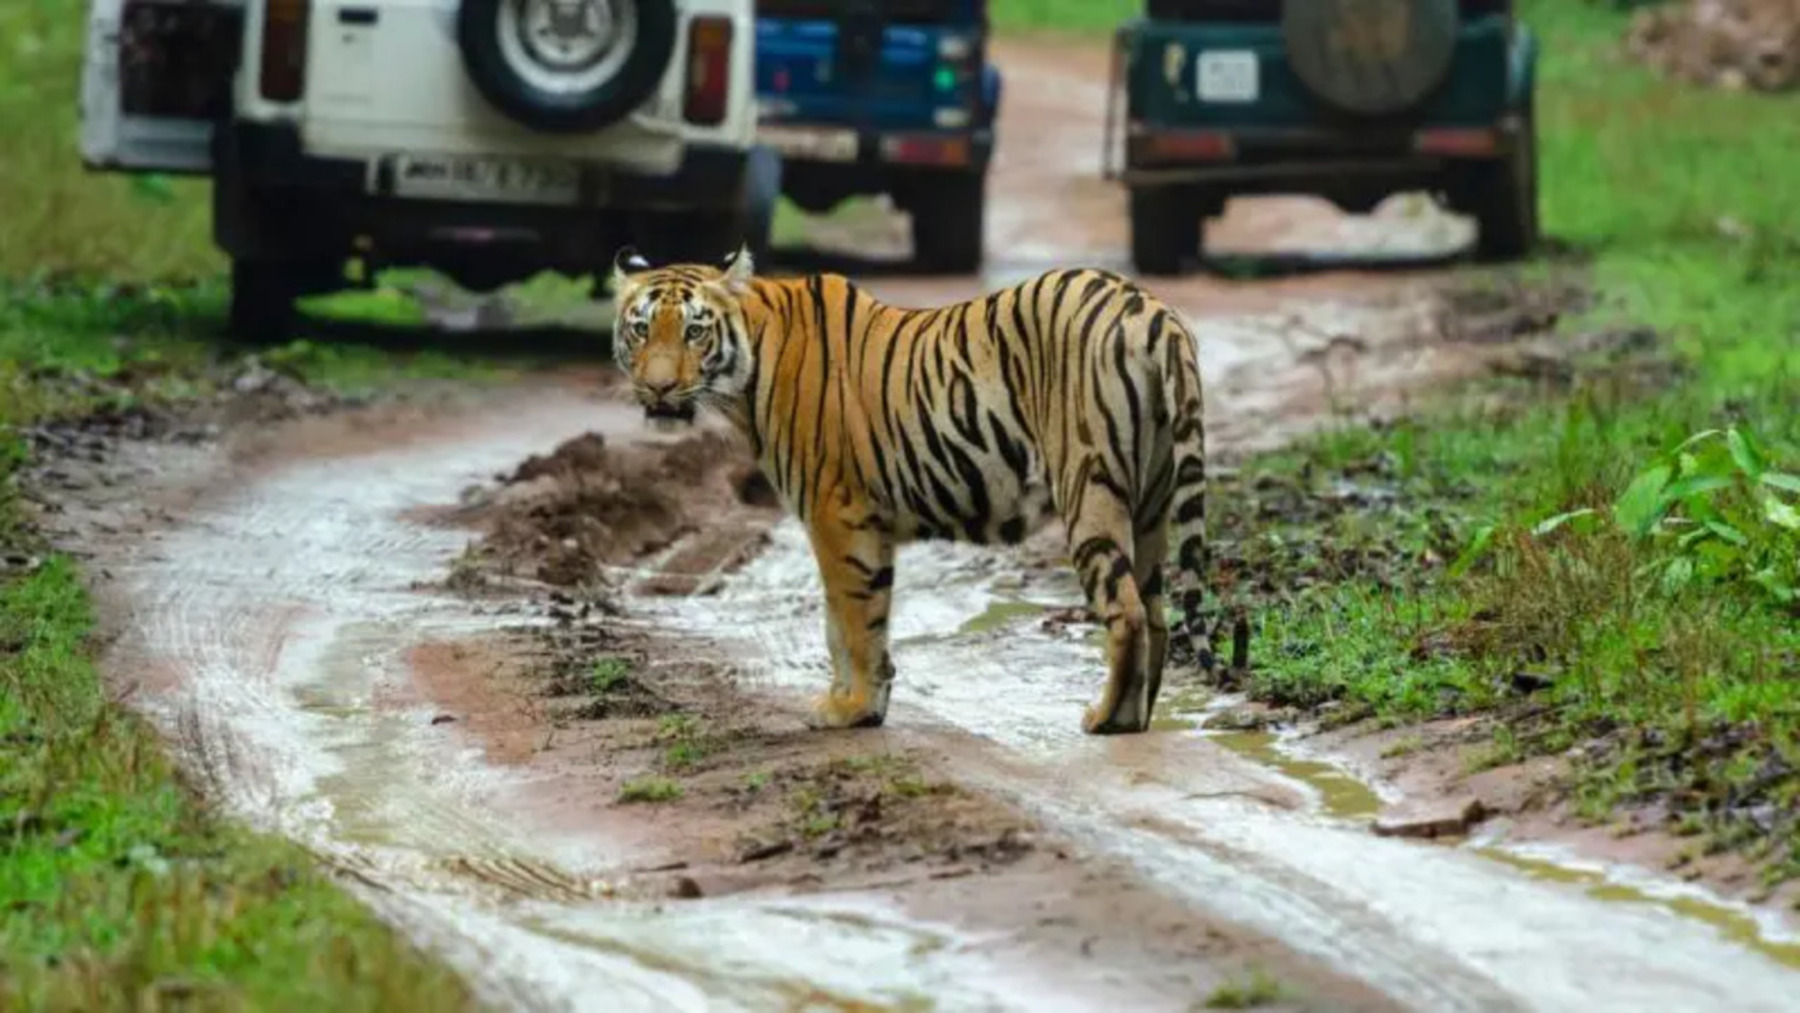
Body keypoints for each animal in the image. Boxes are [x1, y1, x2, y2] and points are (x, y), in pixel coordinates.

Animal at [612, 246, 1216, 737]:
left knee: (1127, 611)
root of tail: (1150, 310)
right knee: (1157, 613)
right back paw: (1138, 715)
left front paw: (851, 708)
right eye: (640, 330)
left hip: (1089, 486)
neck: (747, 371)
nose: (658, 388)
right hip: (1151, 502)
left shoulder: (837, 513)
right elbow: (847, 620)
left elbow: (852, 619)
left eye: (694, 331)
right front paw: (858, 701)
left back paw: (1107, 719)